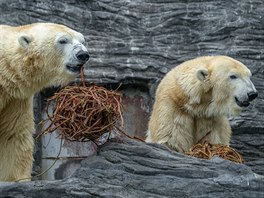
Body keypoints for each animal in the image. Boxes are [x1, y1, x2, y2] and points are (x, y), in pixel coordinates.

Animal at [0, 22, 89, 181]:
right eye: (63, 41)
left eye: (83, 41)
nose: (83, 54)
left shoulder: (15, 98)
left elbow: (12, 134)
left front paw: (18, 180)